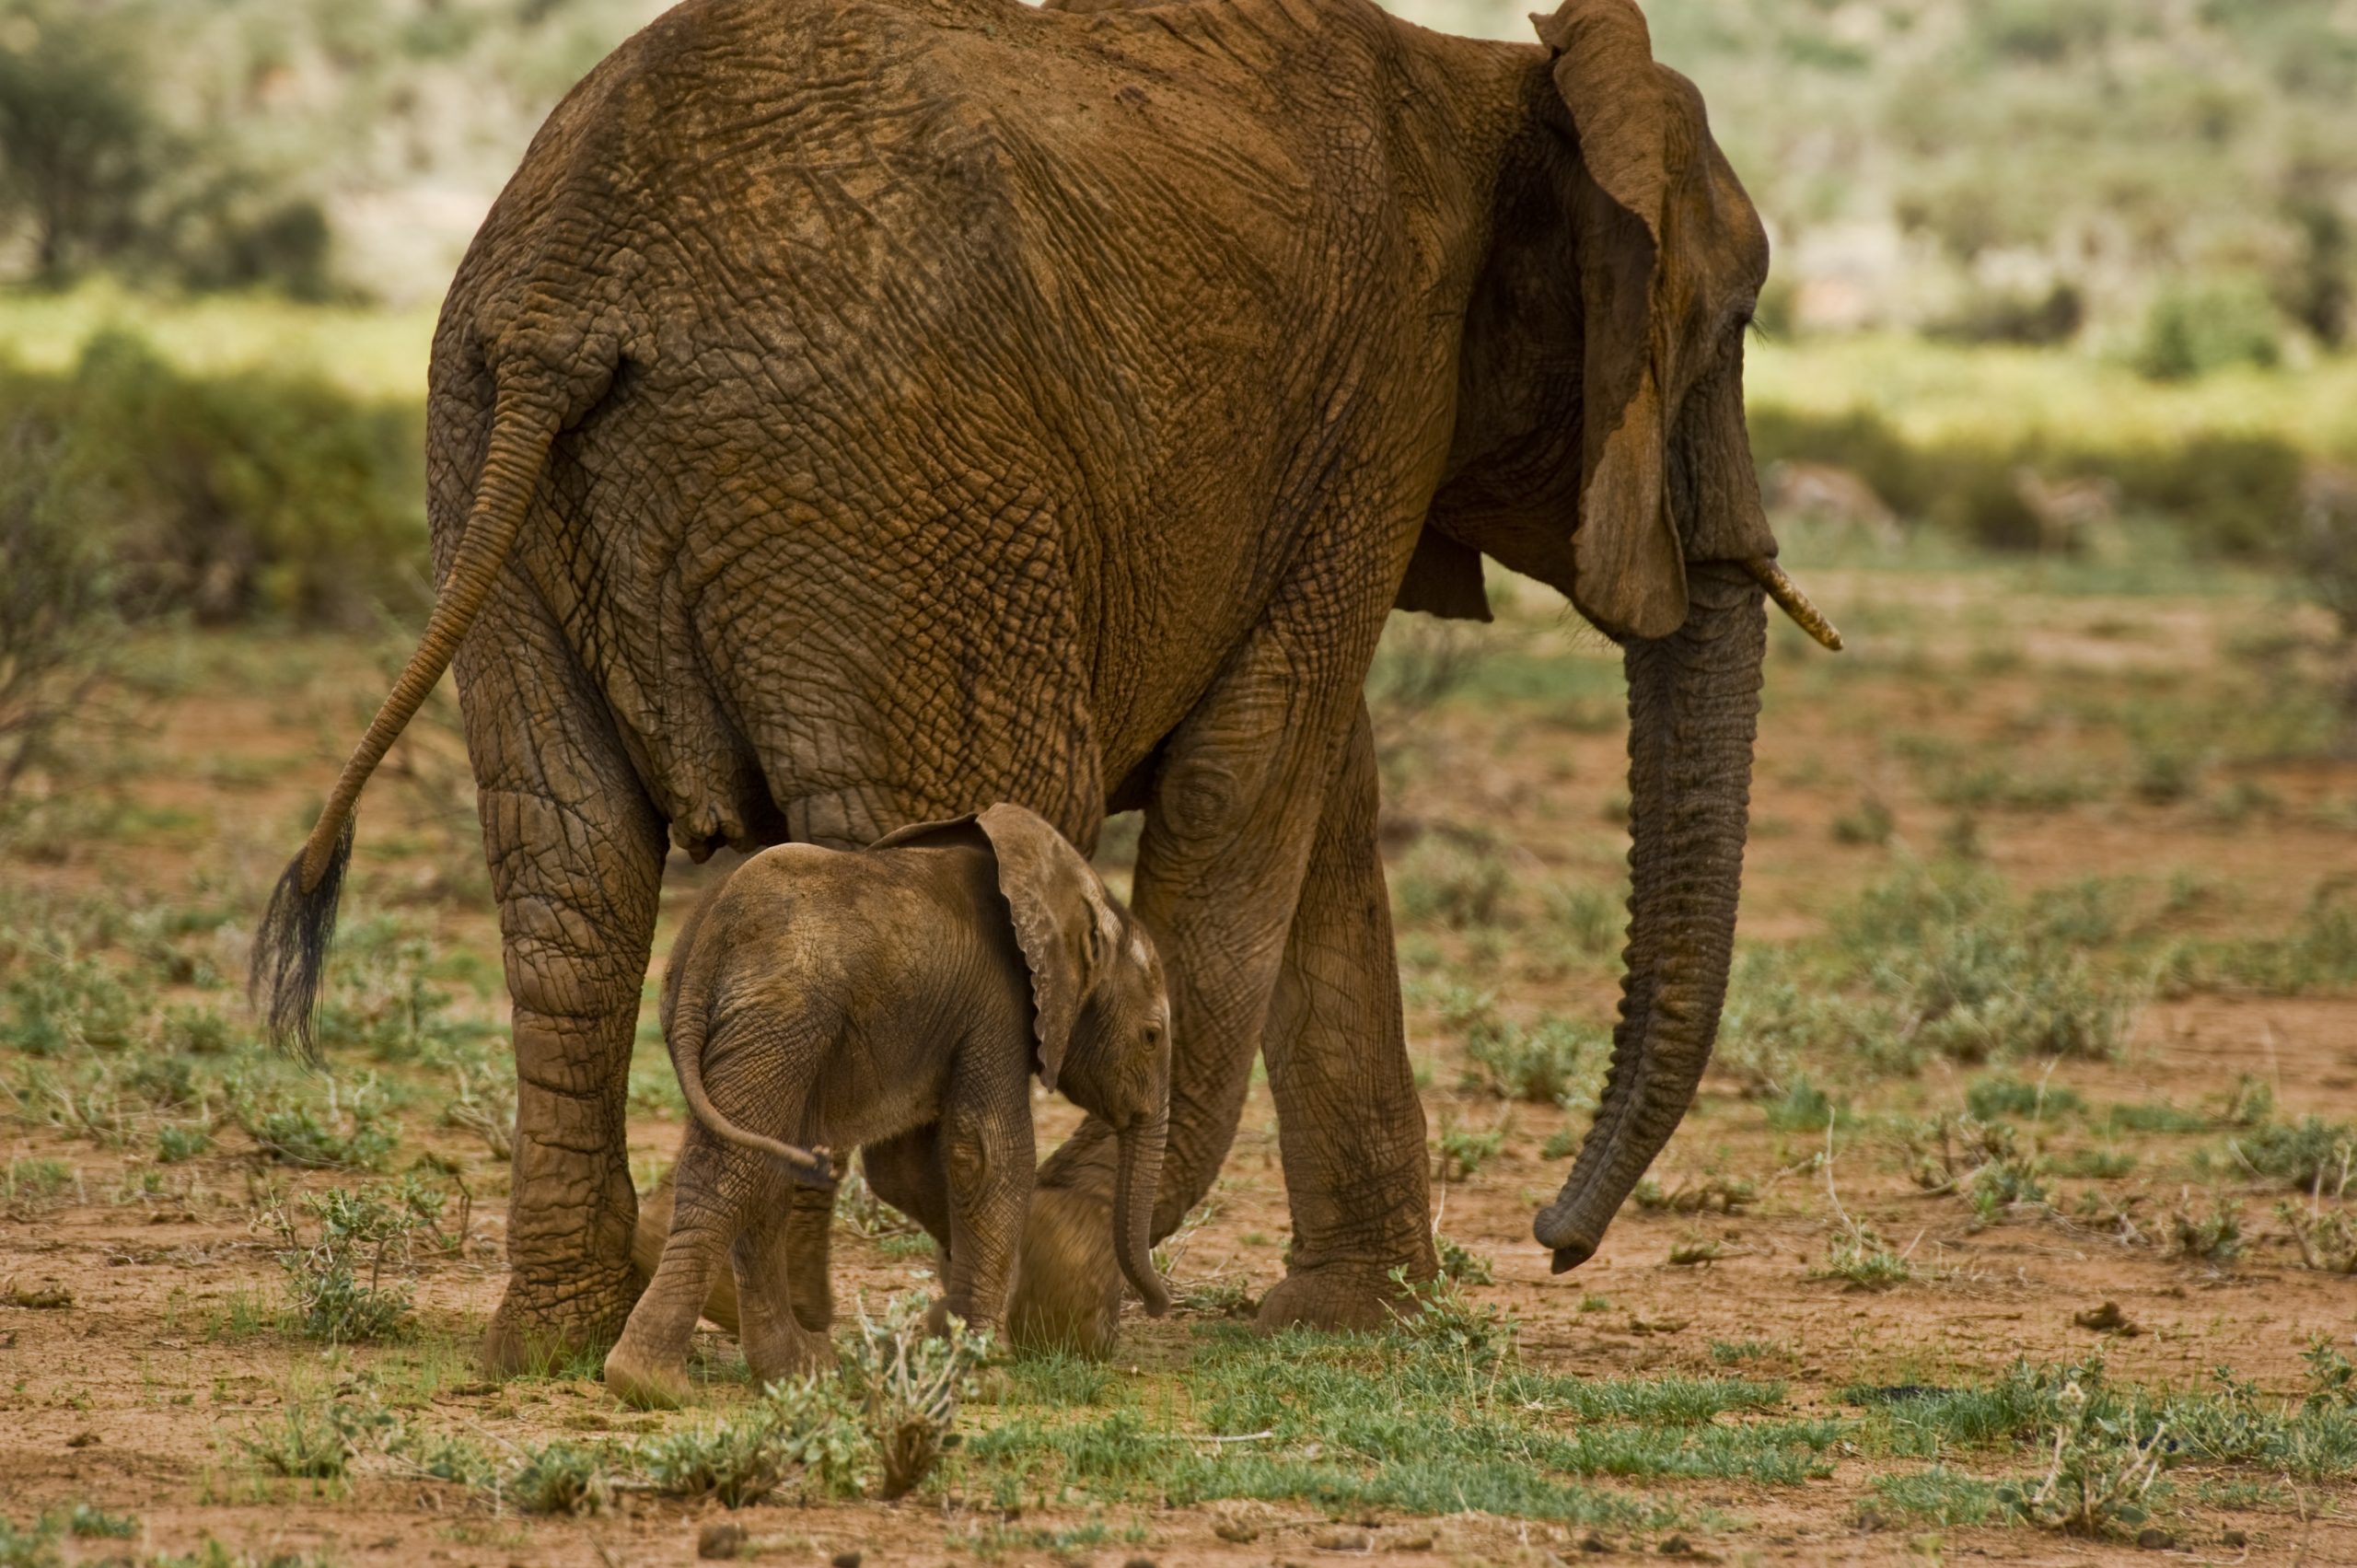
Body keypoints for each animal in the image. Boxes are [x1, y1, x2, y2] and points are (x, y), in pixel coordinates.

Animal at [605, 803, 1173, 1408]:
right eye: (1152, 1037)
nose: (1158, 1307)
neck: (1074, 890)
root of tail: (713, 928)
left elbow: (908, 1169)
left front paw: (949, 1331)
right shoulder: (1000, 1003)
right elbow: (987, 1153)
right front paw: (989, 1375)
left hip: (737, 1020)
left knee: (761, 1167)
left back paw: (796, 1372)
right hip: (782, 1015)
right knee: (737, 1170)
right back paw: (653, 1385)